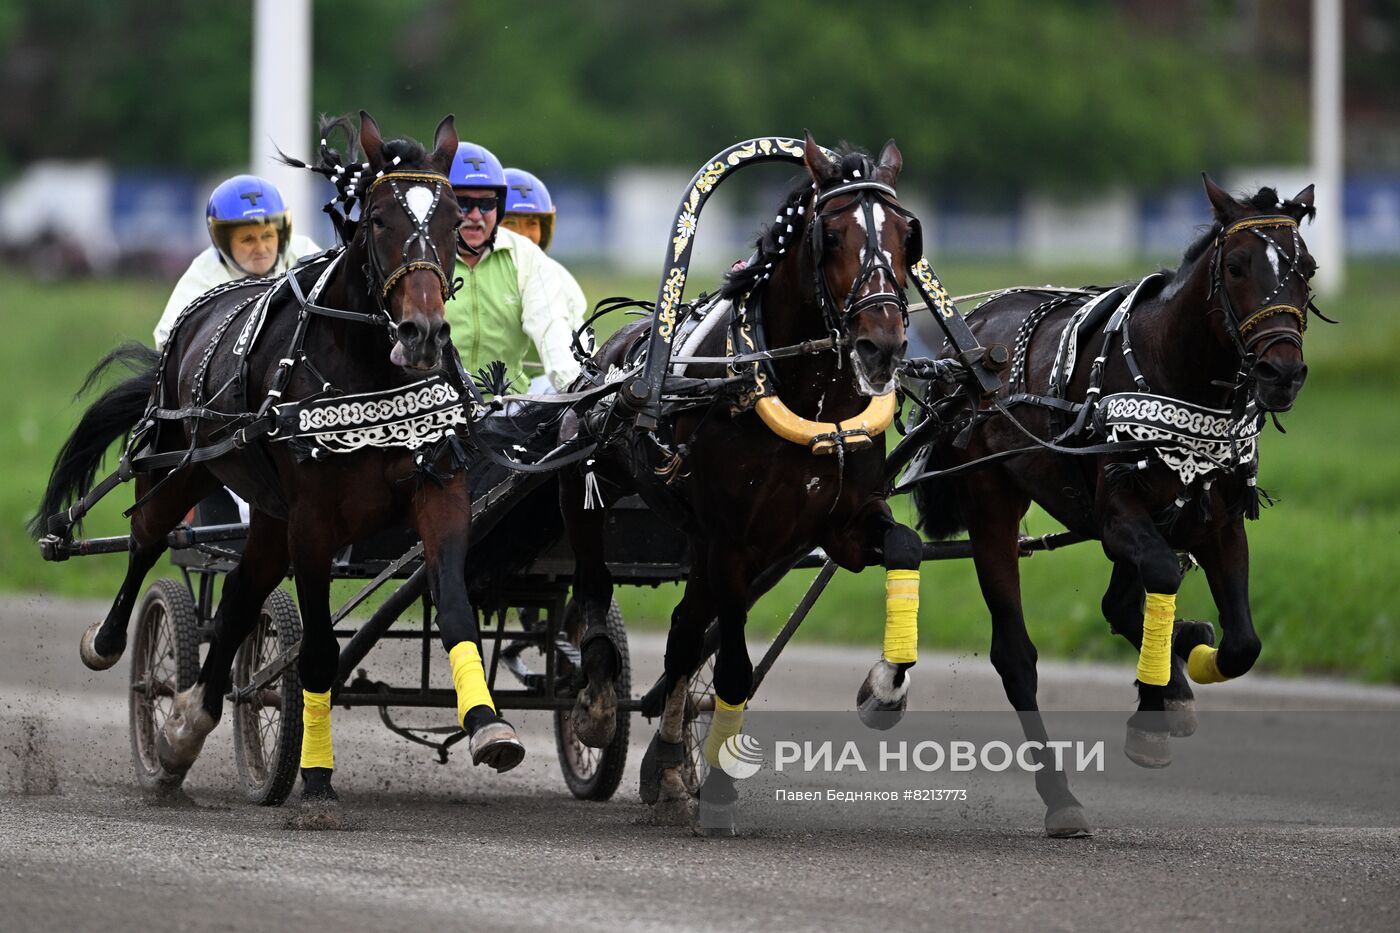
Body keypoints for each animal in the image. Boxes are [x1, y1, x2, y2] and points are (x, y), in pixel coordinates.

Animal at [32, 112, 526, 812]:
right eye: (378, 219)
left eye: (457, 219)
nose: (423, 332)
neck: (368, 375)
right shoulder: (313, 519)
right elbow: (316, 649)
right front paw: (316, 776)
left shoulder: (440, 490)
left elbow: (456, 611)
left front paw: (489, 727)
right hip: (185, 462)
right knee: (149, 535)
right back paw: (111, 649)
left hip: (267, 510)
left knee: (243, 591)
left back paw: (188, 723)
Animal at [557, 130, 929, 829]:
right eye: (831, 235)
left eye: (906, 234)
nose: (883, 346)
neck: (802, 392)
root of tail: (617, 350)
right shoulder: (734, 542)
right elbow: (732, 666)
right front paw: (723, 780)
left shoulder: (844, 523)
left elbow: (905, 545)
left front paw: (885, 686)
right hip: (589, 475)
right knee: (593, 580)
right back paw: (594, 695)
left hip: (698, 543)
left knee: (682, 633)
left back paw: (669, 762)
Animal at [912, 174, 1316, 829]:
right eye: (1235, 266)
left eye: (1306, 267)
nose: (1282, 372)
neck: (1172, 368)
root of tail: (965, 347)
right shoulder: (1117, 511)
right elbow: (1161, 577)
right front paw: (1157, 702)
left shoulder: (1217, 517)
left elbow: (1240, 644)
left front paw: (1186, 659)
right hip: (991, 501)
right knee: (1014, 655)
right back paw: (1060, 796)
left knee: (1122, 602)